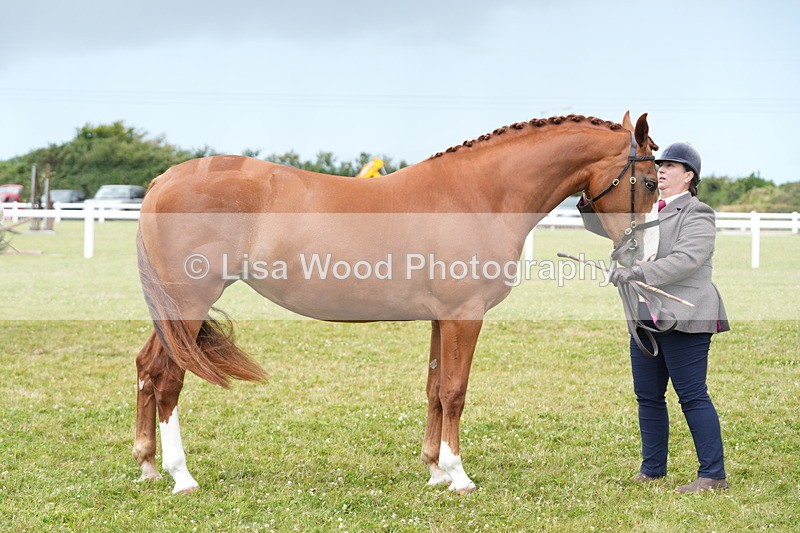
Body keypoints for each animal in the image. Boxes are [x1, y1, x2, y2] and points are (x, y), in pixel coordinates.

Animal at [133, 111, 659, 494]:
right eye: (651, 182)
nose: (642, 252)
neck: (478, 195)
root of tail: (163, 181)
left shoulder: (440, 319)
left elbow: (433, 389)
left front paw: (434, 470)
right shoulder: (464, 317)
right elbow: (455, 391)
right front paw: (458, 475)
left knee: (146, 367)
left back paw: (147, 464)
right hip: (190, 301)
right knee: (169, 378)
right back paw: (181, 476)